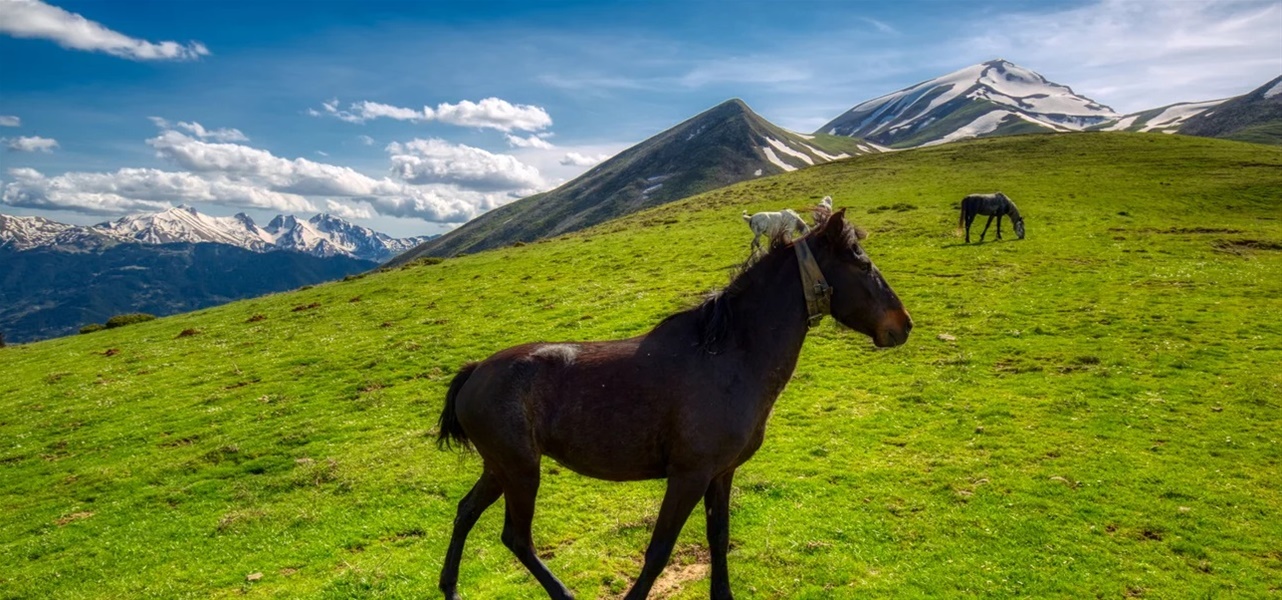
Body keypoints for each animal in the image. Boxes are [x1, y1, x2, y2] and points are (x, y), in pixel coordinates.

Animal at [438, 207, 912, 600]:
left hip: (501, 468)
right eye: (862, 264)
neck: (730, 355)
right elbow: (659, 551)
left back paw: (450, 589)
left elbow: (718, 539)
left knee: (466, 513)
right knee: (517, 538)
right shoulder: (689, 476)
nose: (903, 325)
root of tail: (475, 371)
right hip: (521, 470)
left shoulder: (721, 473)